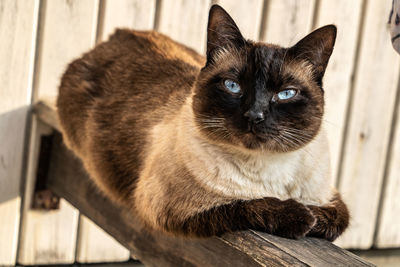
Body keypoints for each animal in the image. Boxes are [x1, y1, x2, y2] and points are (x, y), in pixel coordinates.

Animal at [57, 5, 348, 242]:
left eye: (286, 94)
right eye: (232, 86)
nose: (254, 115)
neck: (267, 169)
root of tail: (118, 34)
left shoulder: (331, 197)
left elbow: (334, 219)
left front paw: (311, 216)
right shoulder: (172, 208)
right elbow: (249, 204)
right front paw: (301, 217)